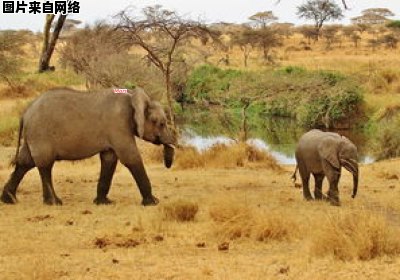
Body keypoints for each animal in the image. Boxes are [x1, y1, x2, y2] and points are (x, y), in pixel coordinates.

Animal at [0, 87, 175, 206]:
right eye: (161, 123)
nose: (168, 162)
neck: (133, 97)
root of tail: (25, 113)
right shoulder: (118, 125)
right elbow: (130, 157)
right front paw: (153, 203)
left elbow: (109, 159)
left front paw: (104, 202)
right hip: (41, 134)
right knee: (45, 165)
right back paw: (54, 202)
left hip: (33, 135)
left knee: (25, 162)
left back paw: (9, 199)